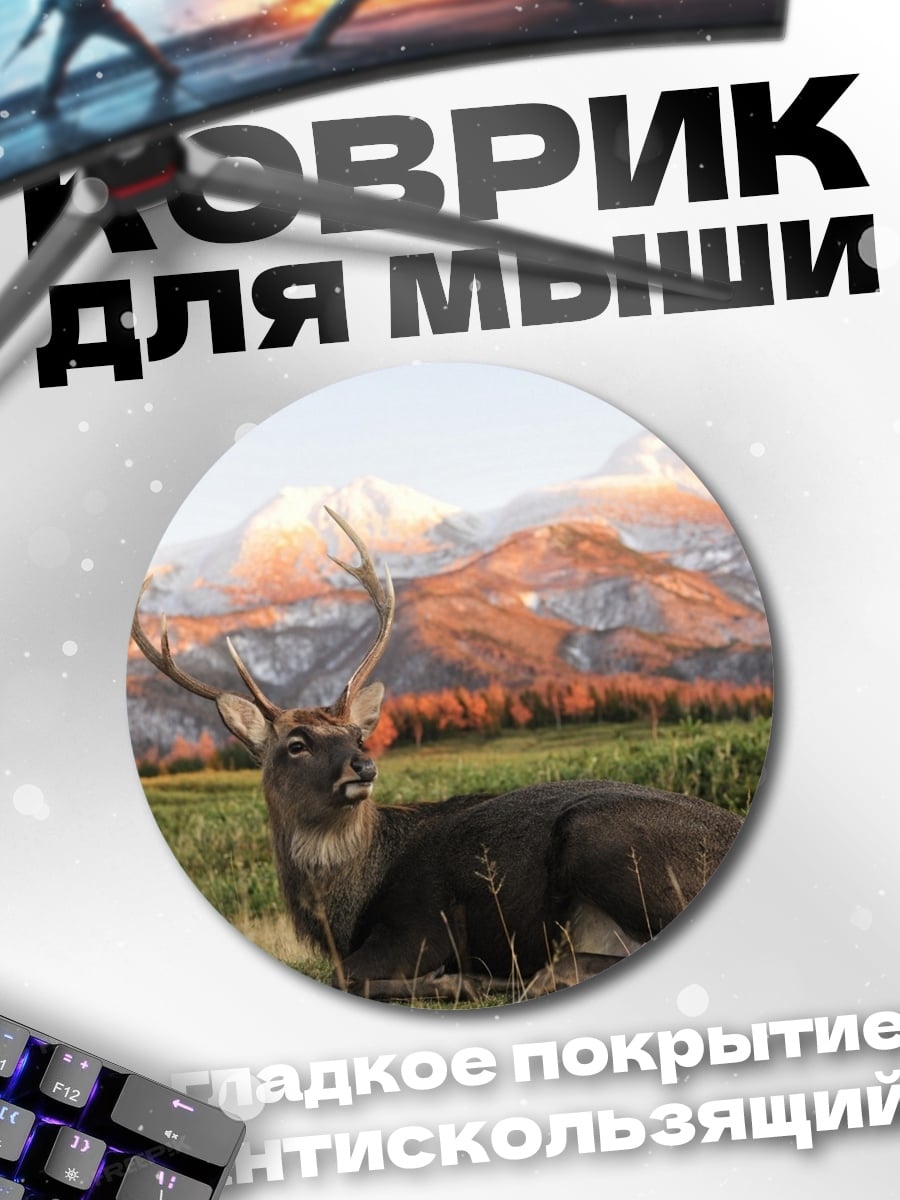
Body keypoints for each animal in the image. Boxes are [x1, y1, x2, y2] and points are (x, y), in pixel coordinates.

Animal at [132, 508, 744, 1002]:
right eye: (296, 744)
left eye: (358, 736)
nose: (364, 766)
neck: (345, 910)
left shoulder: (423, 924)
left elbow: (345, 976)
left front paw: (453, 979)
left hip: (601, 838)